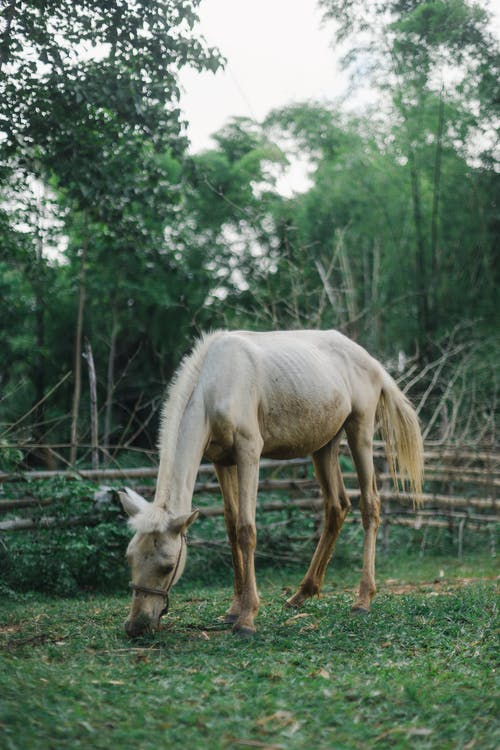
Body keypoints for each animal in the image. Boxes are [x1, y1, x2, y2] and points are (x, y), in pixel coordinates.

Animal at [119, 332, 424, 636]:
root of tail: (373, 362)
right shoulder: (221, 461)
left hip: (360, 432)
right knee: (336, 506)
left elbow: (246, 530)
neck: (215, 383)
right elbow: (232, 528)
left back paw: (362, 600)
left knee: (370, 505)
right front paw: (233, 610)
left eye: (168, 566)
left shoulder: (249, 452)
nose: (137, 625)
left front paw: (246, 618)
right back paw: (302, 594)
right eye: (129, 558)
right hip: (324, 445)